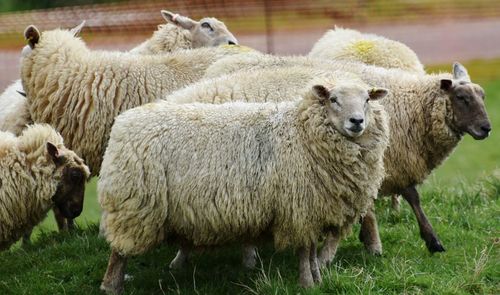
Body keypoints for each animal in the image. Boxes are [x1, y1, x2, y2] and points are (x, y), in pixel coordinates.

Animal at [96, 77, 386, 294]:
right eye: (333, 99)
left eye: (367, 100)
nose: (357, 121)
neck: (301, 132)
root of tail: (124, 122)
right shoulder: (299, 208)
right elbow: (305, 251)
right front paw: (306, 283)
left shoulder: (313, 210)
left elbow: (312, 251)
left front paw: (317, 280)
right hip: (134, 204)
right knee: (119, 252)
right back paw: (111, 286)